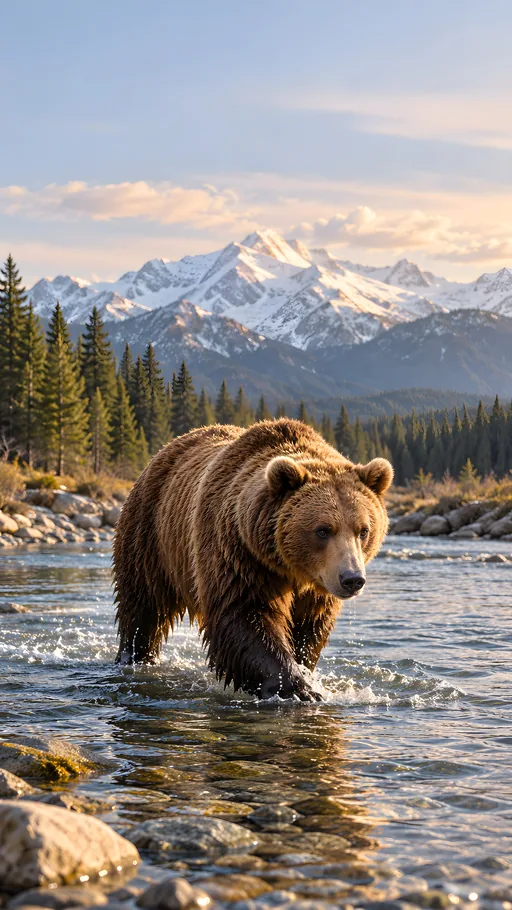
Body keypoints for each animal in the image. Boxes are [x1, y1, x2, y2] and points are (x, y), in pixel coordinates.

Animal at [113, 419, 393, 701]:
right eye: (323, 530)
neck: (291, 568)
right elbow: (245, 615)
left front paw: (305, 673)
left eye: (363, 530)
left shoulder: (317, 588)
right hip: (151, 535)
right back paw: (135, 656)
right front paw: (299, 688)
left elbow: (309, 631)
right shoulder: (240, 555)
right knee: (143, 606)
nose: (352, 579)